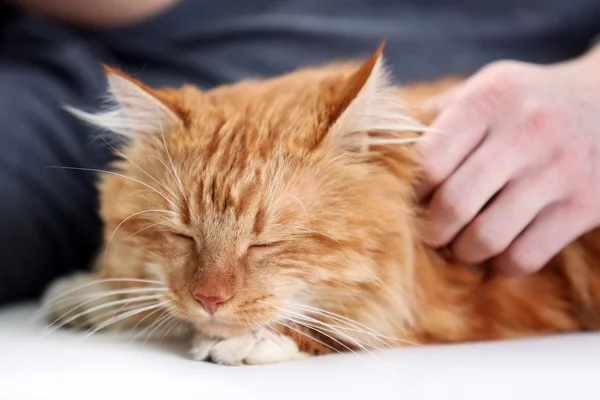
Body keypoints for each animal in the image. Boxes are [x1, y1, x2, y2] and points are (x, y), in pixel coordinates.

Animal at [42, 43, 600, 366]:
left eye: (267, 244)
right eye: (182, 235)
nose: (209, 300)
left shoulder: (487, 302)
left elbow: (357, 325)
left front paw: (258, 339)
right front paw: (96, 292)